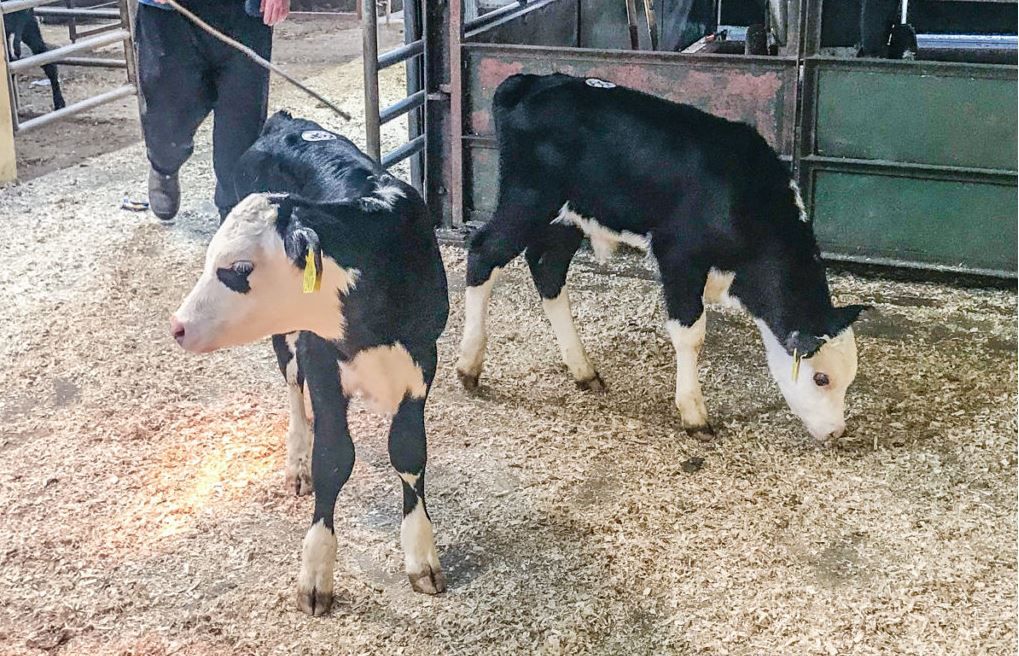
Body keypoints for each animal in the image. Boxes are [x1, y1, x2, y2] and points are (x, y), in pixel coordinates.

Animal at [170, 114, 450, 615]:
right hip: (287, 340)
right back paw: (296, 460)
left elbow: (409, 453)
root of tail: (285, 120)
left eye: (239, 268)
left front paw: (421, 555)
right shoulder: (321, 363)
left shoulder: (422, 364)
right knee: (291, 387)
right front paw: (316, 572)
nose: (177, 326)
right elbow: (332, 461)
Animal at [455, 73, 868, 444]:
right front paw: (694, 414)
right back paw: (469, 365)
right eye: (821, 378)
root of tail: (531, 81)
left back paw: (583, 370)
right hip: (528, 199)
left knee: (548, 270)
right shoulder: (679, 256)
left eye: (849, 379)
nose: (836, 432)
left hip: (569, 218)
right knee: (483, 253)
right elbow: (691, 334)